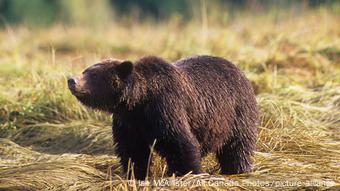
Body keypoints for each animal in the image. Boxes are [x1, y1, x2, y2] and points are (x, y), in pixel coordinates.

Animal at [67, 54, 258, 179]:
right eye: (85, 70)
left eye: (93, 74)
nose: (71, 80)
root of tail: (240, 71)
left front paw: (188, 171)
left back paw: (238, 169)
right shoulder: (128, 121)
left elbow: (180, 142)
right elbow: (133, 150)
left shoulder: (166, 107)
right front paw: (136, 173)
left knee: (237, 147)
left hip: (236, 113)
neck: (138, 100)